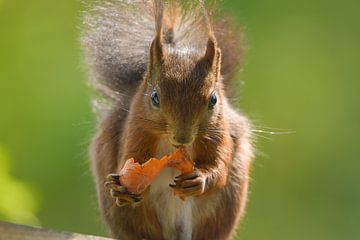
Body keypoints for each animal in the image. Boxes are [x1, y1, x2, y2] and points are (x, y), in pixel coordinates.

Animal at [82, 0, 253, 240]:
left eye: (214, 100)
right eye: (154, 97)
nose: (182, 138)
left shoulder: (220, 134)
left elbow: (219, 169)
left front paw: (200, 179)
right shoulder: (136, 130)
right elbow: (131, 161)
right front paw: (124, 189)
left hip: (228, 203)